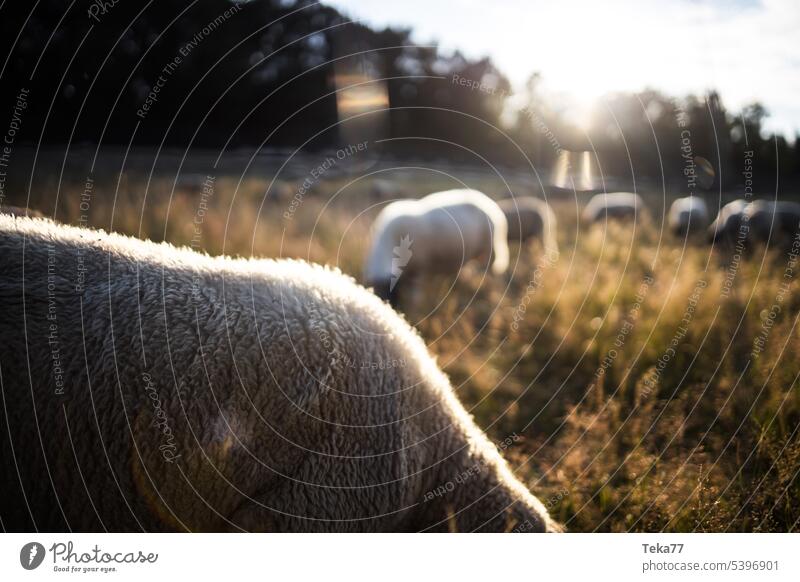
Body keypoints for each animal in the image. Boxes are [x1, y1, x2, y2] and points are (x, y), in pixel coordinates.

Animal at [362, 190, 506, 310]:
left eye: (391, 292)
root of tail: (487, 201)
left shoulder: (419, 268)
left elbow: (415, 295)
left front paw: (414, 307)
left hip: (491, 248)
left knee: (493, 271)